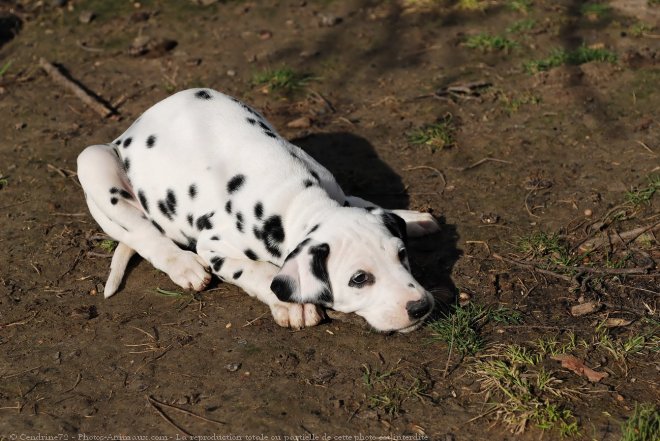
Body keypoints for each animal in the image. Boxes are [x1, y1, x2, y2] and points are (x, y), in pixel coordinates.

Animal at [76, 88, 438, 330]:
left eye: (402, 255)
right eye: (359, 279)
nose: (420, 307)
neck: (295, 198)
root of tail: (127, 132)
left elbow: (360, 200)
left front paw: (409, 218)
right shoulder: (215, 247)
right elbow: (258, 271)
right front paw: (290, 305)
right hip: (92, 161)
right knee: (144, 234)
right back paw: (183, 265)